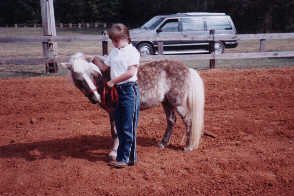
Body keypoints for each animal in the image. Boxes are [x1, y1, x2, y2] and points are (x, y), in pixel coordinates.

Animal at [62, 52, 204, 160]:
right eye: (78, 80)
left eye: (94, 75)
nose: (95, 97)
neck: (107, 79)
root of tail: (187, 69)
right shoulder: (111, 112)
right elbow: (115, 131)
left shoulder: (115, 110)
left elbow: (116, 132)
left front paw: (113, 153)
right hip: (166, 102)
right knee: (171, 121)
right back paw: (162, 144)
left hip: (177, 103)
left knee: (188, 121)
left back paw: (188, 147)